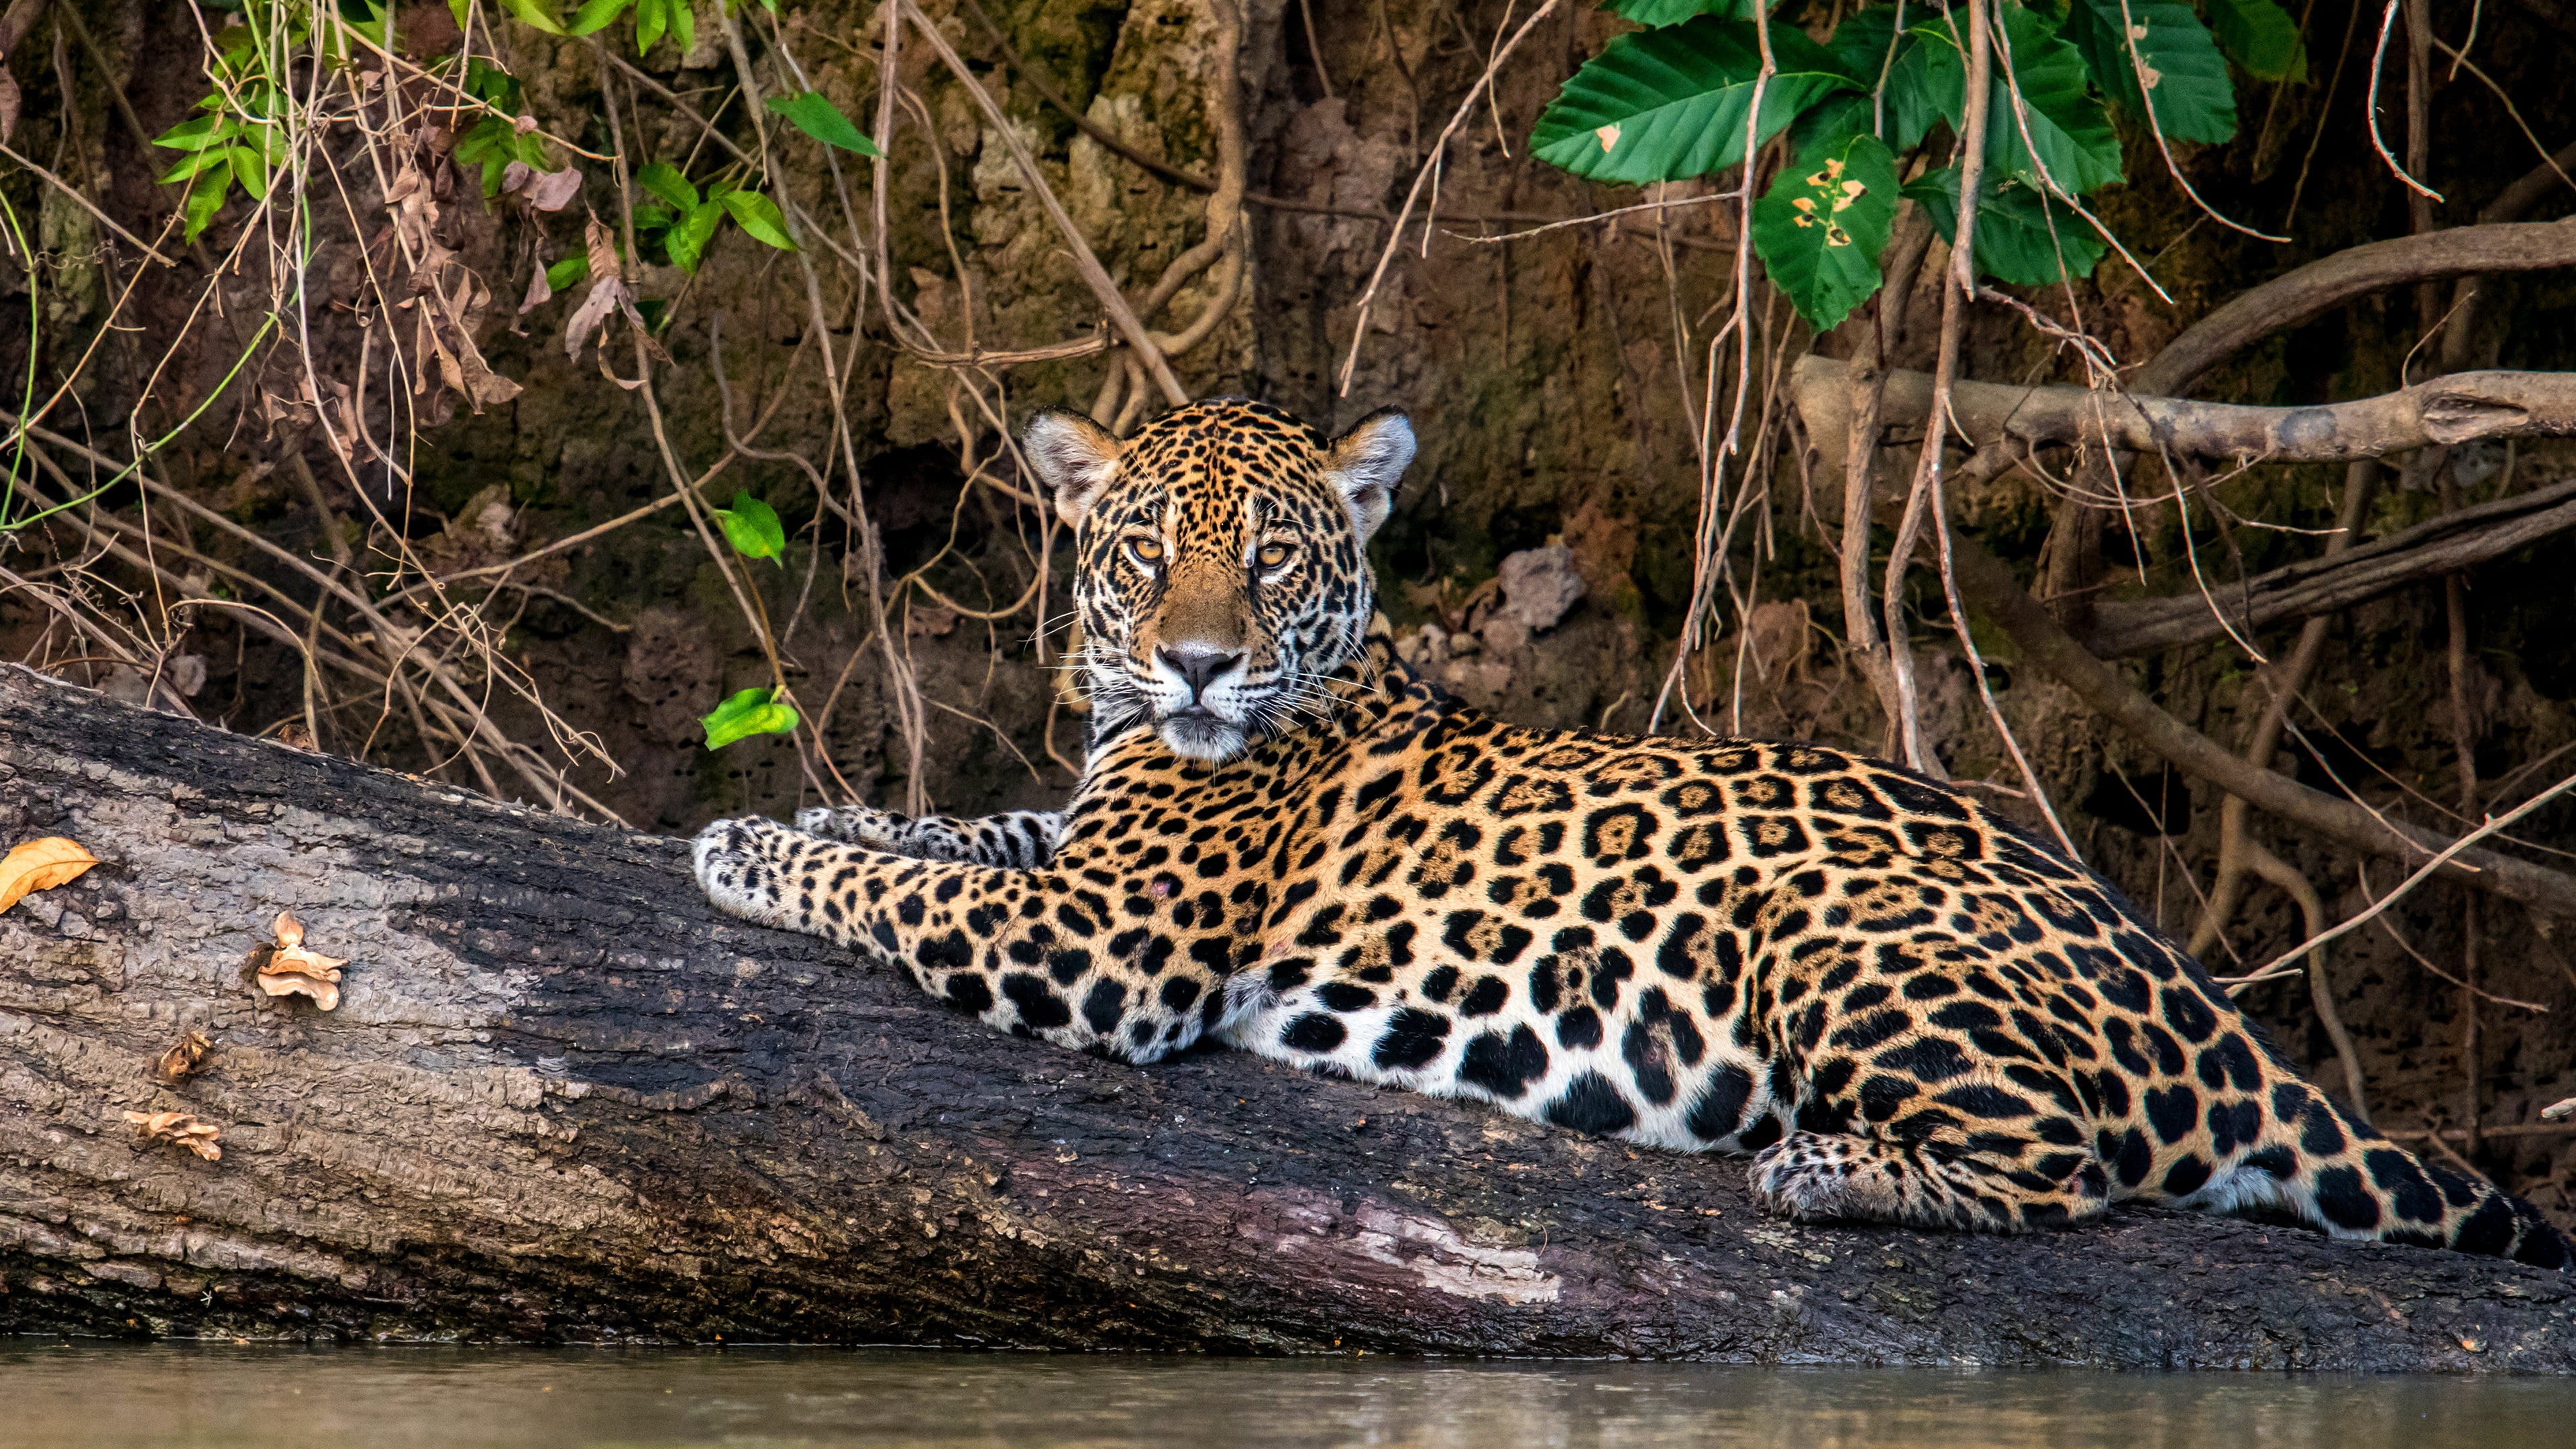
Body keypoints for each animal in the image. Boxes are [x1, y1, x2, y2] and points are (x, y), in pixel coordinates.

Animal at [695, 397, 2570, 1268]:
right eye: (1146, 553)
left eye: (1274, 560)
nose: (1200, 660)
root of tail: (2188, 985)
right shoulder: (1080, 859)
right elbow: (954, 825)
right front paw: (802, 804)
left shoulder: (1110, 943)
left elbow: (894, 884)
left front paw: (747, 851)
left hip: (1837, 929)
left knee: (2072, 1169)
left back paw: (1827, 1168)